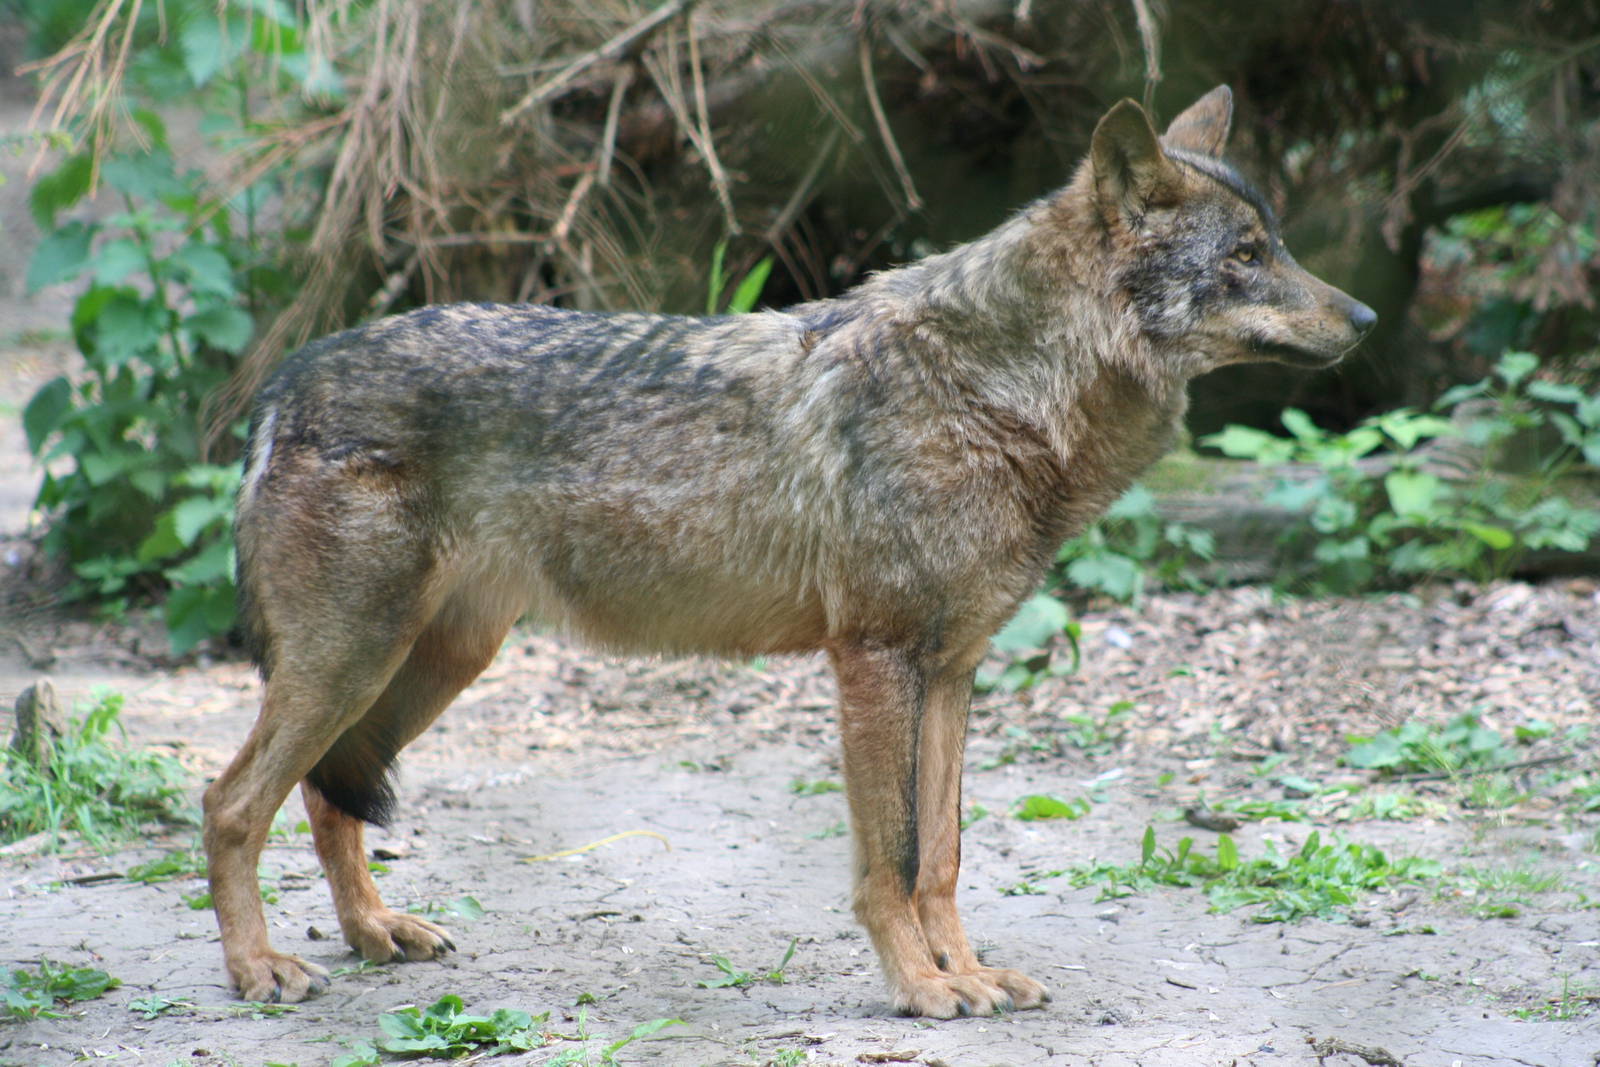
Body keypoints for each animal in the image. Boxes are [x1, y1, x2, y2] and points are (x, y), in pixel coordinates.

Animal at [202, 85, 1374, 1018]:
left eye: (1277, 243)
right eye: (1248, 256)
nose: (1364, 314)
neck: (998, 392)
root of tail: (288, 377)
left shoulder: (950, 672)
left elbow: (943, 854)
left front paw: (968, 973)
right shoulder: (872, 662)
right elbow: (891, 859)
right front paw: (923, 988)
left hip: (426, 666)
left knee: (326, 796)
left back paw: (373, 934)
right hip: (351, 664)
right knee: (233, 801)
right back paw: (258, 970)